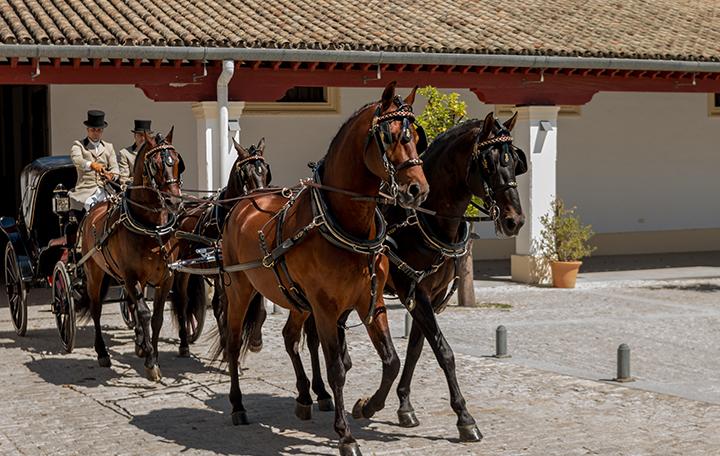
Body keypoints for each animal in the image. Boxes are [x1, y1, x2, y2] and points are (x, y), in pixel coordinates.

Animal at [77, 128, 184, 382]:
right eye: (155, 165)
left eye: (177, 161)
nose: (174, 201)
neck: (152, 228)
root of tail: (94, 209)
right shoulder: (131, 275)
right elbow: (144, 313)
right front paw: (151, 362)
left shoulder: (166, 278)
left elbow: (156, 318)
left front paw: (151, 352)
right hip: (95, 274)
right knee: (96, 309)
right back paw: (102, 353)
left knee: (131, 304)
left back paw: (139, 343)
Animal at [170, 137, 272, 358]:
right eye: (245, 174)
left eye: (266, 172)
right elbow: (222, 306)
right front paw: (228, 344)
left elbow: (256, 306)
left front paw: (254, 340)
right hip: (183, 269)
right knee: (183, 300)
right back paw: (184, 343)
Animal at [222, 82, 428, 456]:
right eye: (389, 136)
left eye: (416, 137)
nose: (417, 189)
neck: (345, 223)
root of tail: (242, 204)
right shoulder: (326, 307)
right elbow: (337, 369)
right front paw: (345, 435)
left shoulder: (371, 301)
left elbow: (391, 361)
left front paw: (367, 406)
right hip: (240, 290)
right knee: (232, 342)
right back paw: (238, 405)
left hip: (294, 298)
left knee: (290, 337)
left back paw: (305, 396)